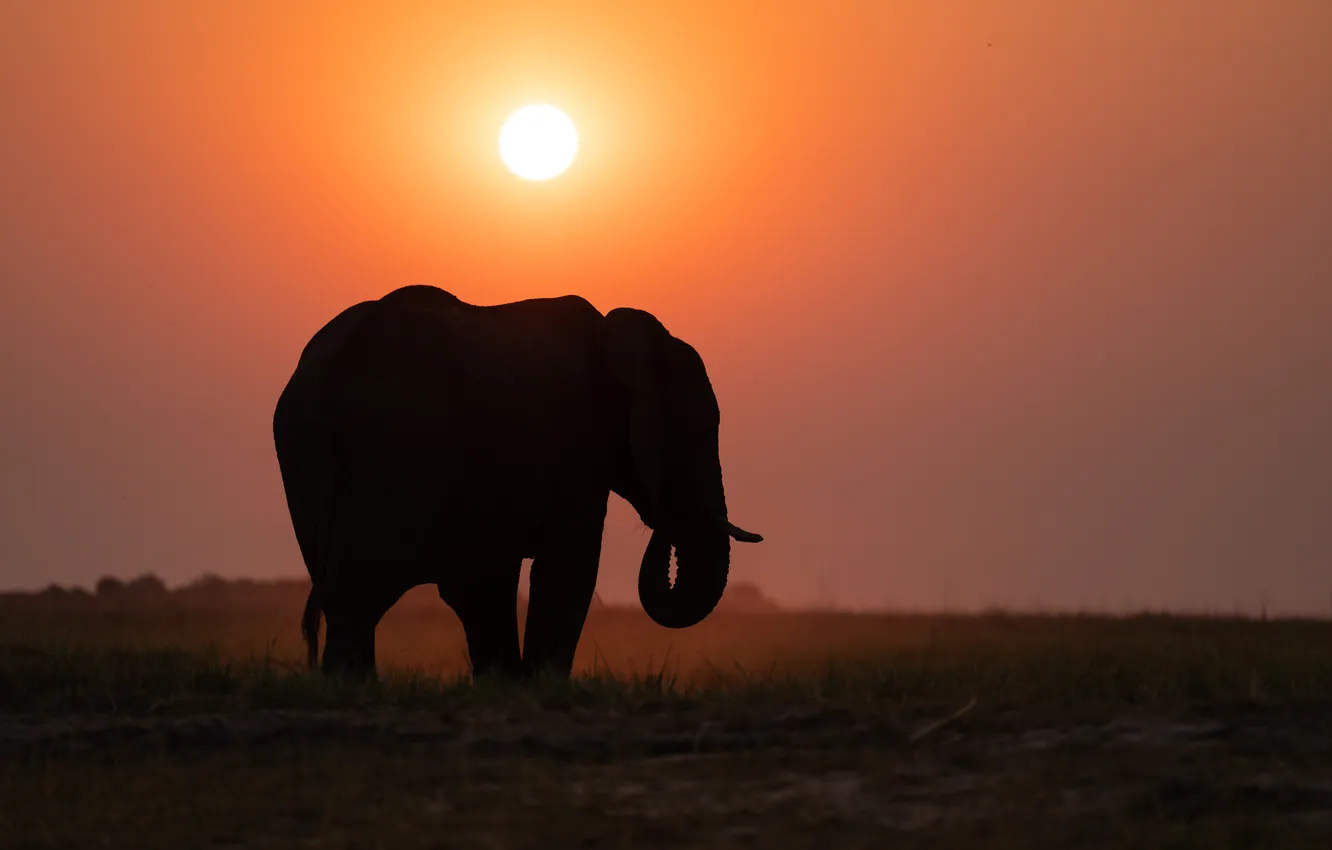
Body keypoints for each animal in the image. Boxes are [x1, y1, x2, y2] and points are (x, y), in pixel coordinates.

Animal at [273, 285, 762, 679]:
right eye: (699, 431)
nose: (665, 517)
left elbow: (484, 583)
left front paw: (506, 685)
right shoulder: (575, 447)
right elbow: (569, 568)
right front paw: (540, 686)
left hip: (303, 455)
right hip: (395, 447)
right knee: (359, 590)